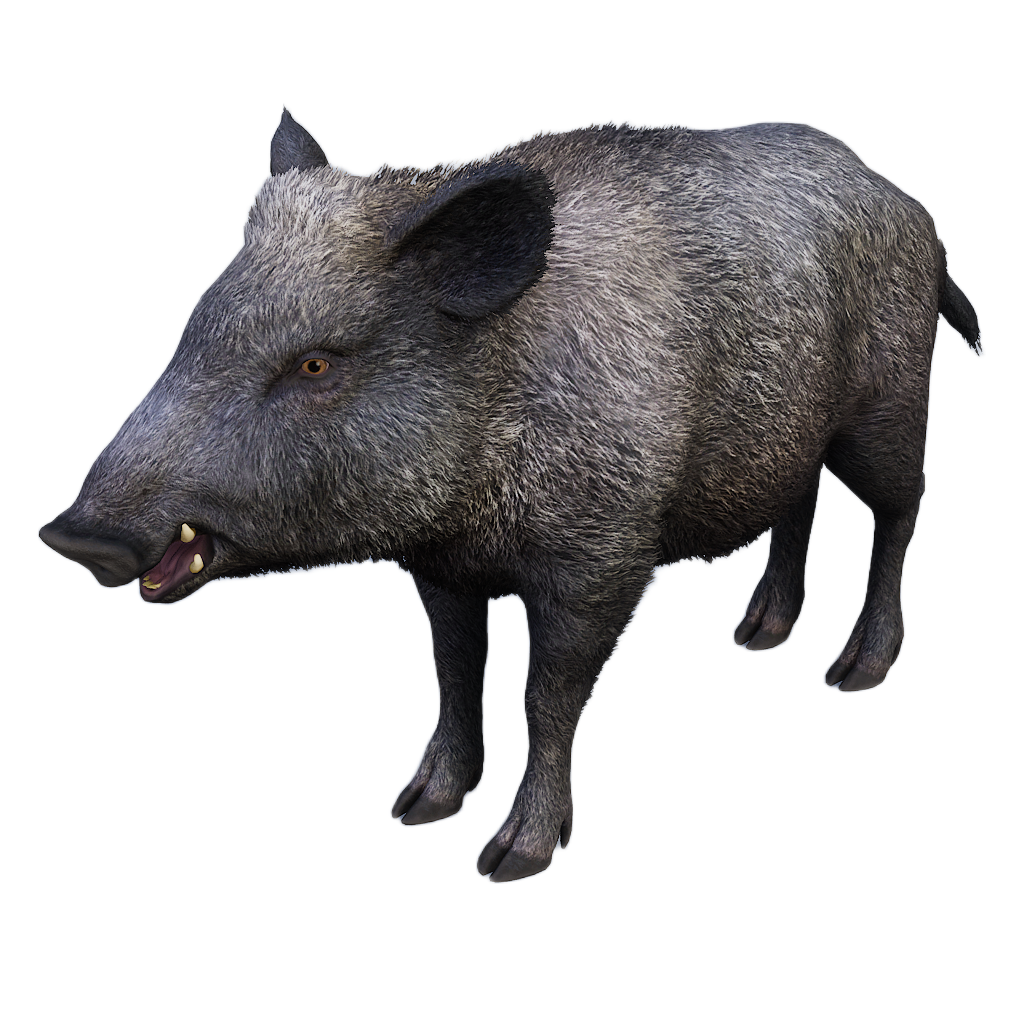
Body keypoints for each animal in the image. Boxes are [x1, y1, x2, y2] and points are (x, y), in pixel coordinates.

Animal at [38, 106, 984, 882]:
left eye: (315, 364)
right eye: (196, 327)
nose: (74, 534)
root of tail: (909, 204)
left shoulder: (604, 556)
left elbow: (546, 693)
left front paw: (509, 860)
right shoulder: (440, 566)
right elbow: (455, 672)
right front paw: (415, 810)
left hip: (892, 404)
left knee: (900, 513)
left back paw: (854, 674)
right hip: (787, 435)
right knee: (799, 504)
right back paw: (756, 637)